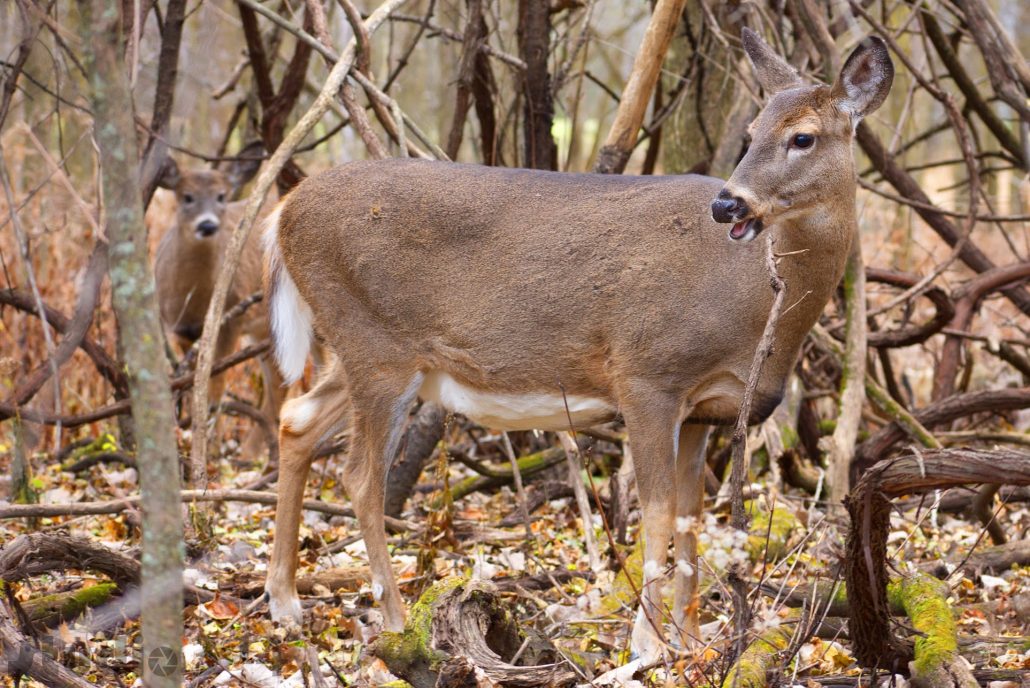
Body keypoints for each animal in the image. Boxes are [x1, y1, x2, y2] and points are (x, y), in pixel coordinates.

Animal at [149, 143, 286, 452]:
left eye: (221, 196)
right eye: (187, 197)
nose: (208, 225)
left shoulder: (231, 317)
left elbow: (215, 388)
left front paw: (206, 444)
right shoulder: (181, 329)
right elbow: (192, 384)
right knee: (282, 383)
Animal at [261, 29, 893, 661]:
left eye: (802, 137)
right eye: (752, 131)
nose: (727, 204)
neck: (756, 307)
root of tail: (282, 211)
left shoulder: (704, 409)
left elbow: (690, 518)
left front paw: (690, 643)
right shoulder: (647, 374)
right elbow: (658, 512)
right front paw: (646, 647)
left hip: (363, 345)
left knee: (296, 418)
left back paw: (286, 603)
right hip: (376, 344)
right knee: (360, 478)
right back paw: (395, 623)